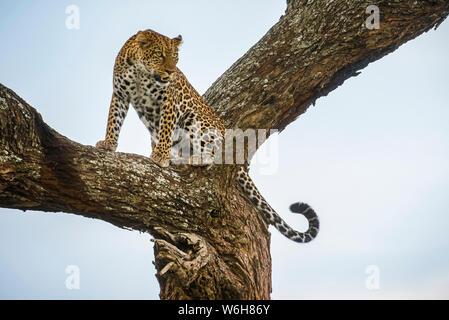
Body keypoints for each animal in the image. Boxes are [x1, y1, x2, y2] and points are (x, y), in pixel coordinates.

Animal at [95, 30, 318, 244]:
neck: (141, 72)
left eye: (175, 57)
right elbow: (113, 120)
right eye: (160, 55)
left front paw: (160, 155)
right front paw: (108, 143)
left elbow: (165, 128)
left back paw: (195, 158)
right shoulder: (120, 94)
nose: (171, 72)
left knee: (214, 153)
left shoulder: (169, 100)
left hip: (197, 122)